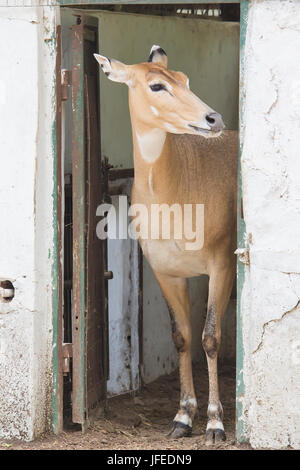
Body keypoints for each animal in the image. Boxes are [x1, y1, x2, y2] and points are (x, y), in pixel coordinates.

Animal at [95, 46, 238, 446]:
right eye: (157, 85)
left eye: (185, 79)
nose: (212, 118)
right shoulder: (165, 270)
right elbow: (182, 337)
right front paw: (183, 417)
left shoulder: (222, 262)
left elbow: (210, 336)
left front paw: (215, 424)